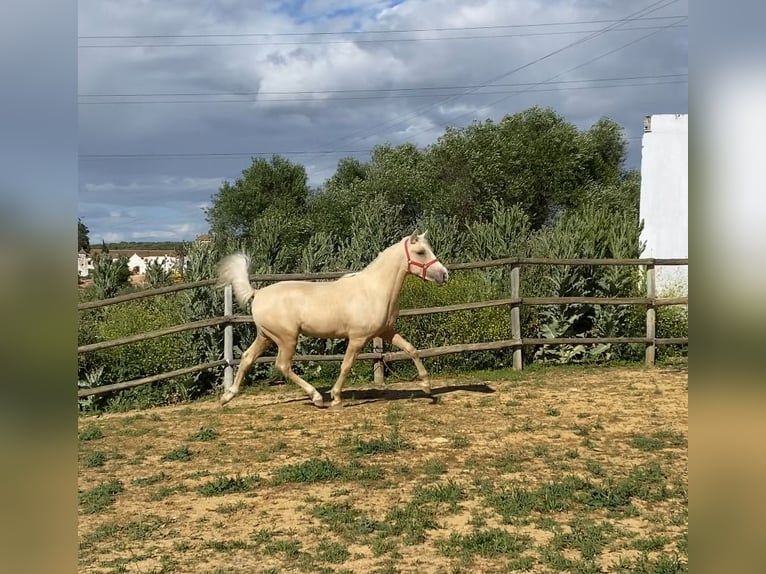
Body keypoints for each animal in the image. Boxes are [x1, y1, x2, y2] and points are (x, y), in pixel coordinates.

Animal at [216, 233, 450, 410]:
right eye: (420, 252)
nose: (444, 275)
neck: (374, 290)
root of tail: (257, 293)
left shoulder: (386, 332)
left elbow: (412, 350)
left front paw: (427, 386)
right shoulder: (358, 338)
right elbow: (346, 365)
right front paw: (337, 398)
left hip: (266, 337)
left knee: (247, 358)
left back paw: (227, 397)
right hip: (286, 338)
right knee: (282, 365)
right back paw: (317, 398)